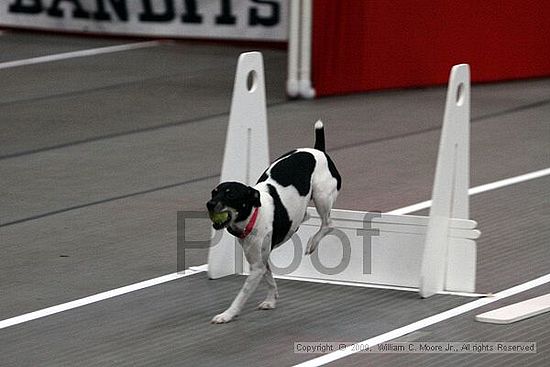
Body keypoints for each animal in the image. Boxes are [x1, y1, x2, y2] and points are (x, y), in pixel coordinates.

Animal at [207, 121, 342, 324]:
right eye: (213, 193)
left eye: (230, 195)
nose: (209, 204)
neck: (255, 214)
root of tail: (318, 150)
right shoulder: (261, 261)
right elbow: (270, 280)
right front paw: (271, 301)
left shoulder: (256, 268)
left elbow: (241, 295)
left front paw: (228, 314)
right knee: (306, 216)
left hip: (322, 196)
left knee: (328, 223)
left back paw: (312, 243)